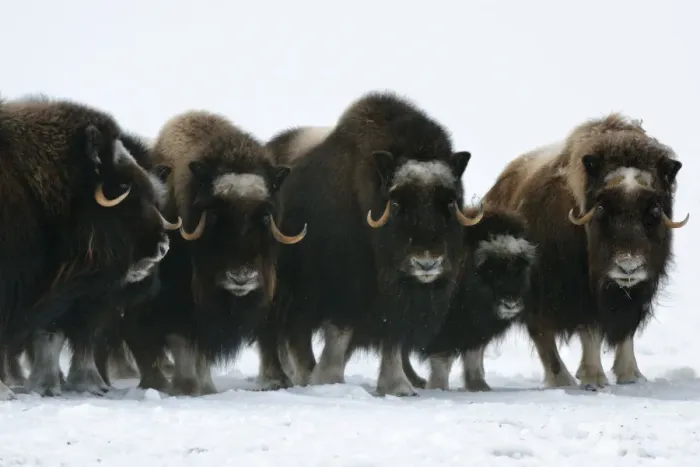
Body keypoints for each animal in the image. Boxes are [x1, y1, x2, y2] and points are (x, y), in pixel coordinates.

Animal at [118, 109, 306, 396]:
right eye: (216, 216)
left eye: (264, 216)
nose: (242, 277)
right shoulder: (176, 304)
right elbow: (182, 342)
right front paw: (188, 388)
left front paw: (206, 387)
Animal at [259, 91, 484, 397]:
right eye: (398, 204)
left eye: (448, 203)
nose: (427, 263)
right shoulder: (344, 288)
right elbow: (339, 334)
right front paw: (329, 380)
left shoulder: (395, 299)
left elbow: (393, 340)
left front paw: (398, 387)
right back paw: (278, 379)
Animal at [482, 113, 689, 390]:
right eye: (601, 208)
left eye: (654, 209)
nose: (629, 267)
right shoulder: (580, 290)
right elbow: (590, 330)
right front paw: (594, 378)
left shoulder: (636, 292)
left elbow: (626, 332)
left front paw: (631, 376)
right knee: (541, 333)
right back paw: (562, 379)